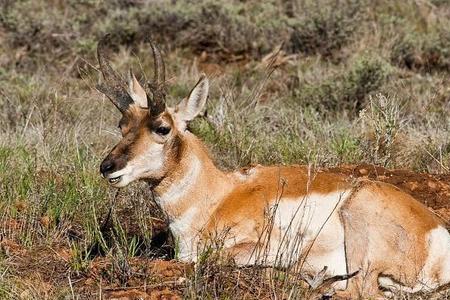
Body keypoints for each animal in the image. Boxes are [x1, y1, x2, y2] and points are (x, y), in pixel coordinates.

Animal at [96, 36, 450, 296]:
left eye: (162, 128)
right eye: (122, 124)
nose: (108, 167)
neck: (219, 195)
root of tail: (436, 230)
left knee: (357, 290)